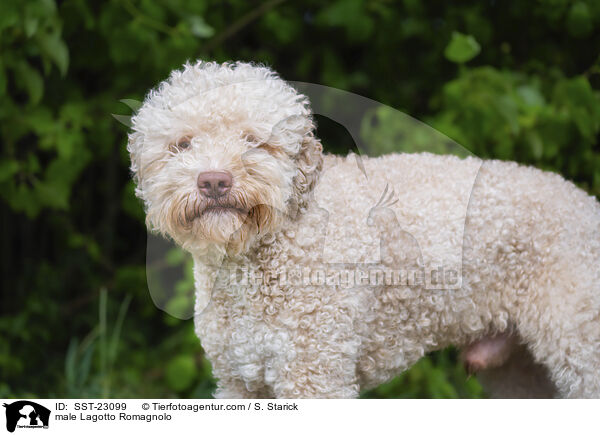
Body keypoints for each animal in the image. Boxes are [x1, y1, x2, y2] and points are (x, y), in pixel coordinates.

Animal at [130, 60, 600, 398]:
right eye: (182, 144)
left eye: (255, 141)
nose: (213, 181)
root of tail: (587, 204)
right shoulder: (240, 382)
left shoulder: (315, 376)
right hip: (521, 369)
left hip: (581, 350)